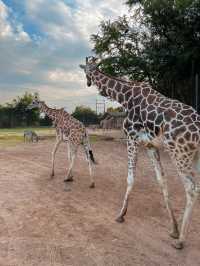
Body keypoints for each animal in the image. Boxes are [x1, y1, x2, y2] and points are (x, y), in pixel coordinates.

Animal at [79, 56, 200, 249]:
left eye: (87, 71)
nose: (88, 82)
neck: (124, 96)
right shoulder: (150, 145)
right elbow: (161, 181)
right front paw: (173, 229)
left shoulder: (131, 138)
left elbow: (130, 178)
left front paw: (121, 215)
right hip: (195, 156)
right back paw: (179, 235)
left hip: (179, 153)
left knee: (191, 188)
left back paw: (181, 241)